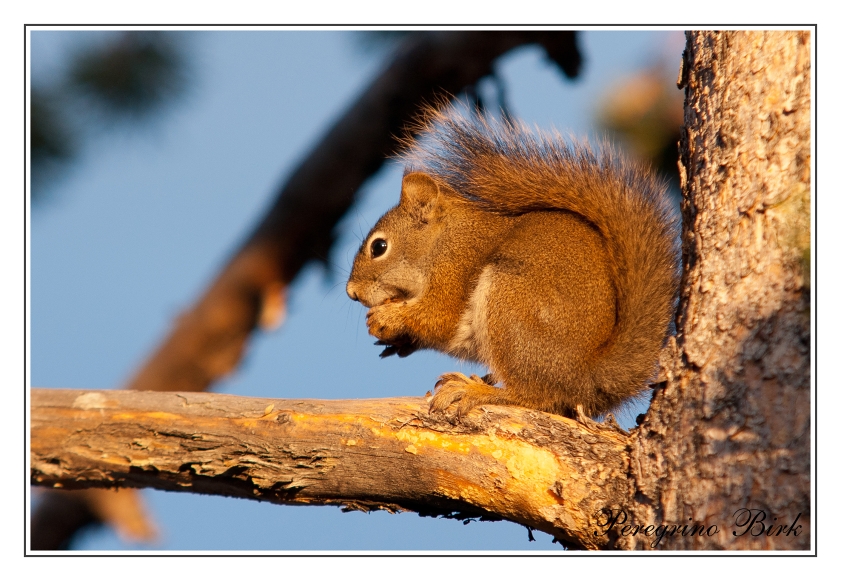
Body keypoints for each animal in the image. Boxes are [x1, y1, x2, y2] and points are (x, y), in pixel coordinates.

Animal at [344, 107, 680, 416]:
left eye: (379, 247)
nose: (352, 293)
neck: (442, 241)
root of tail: (586, 377)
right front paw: (397, 340)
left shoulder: (455, 267)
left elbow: (439, 318)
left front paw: (388, 318)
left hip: (511, 304)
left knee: (535, 396)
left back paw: (477, 391)